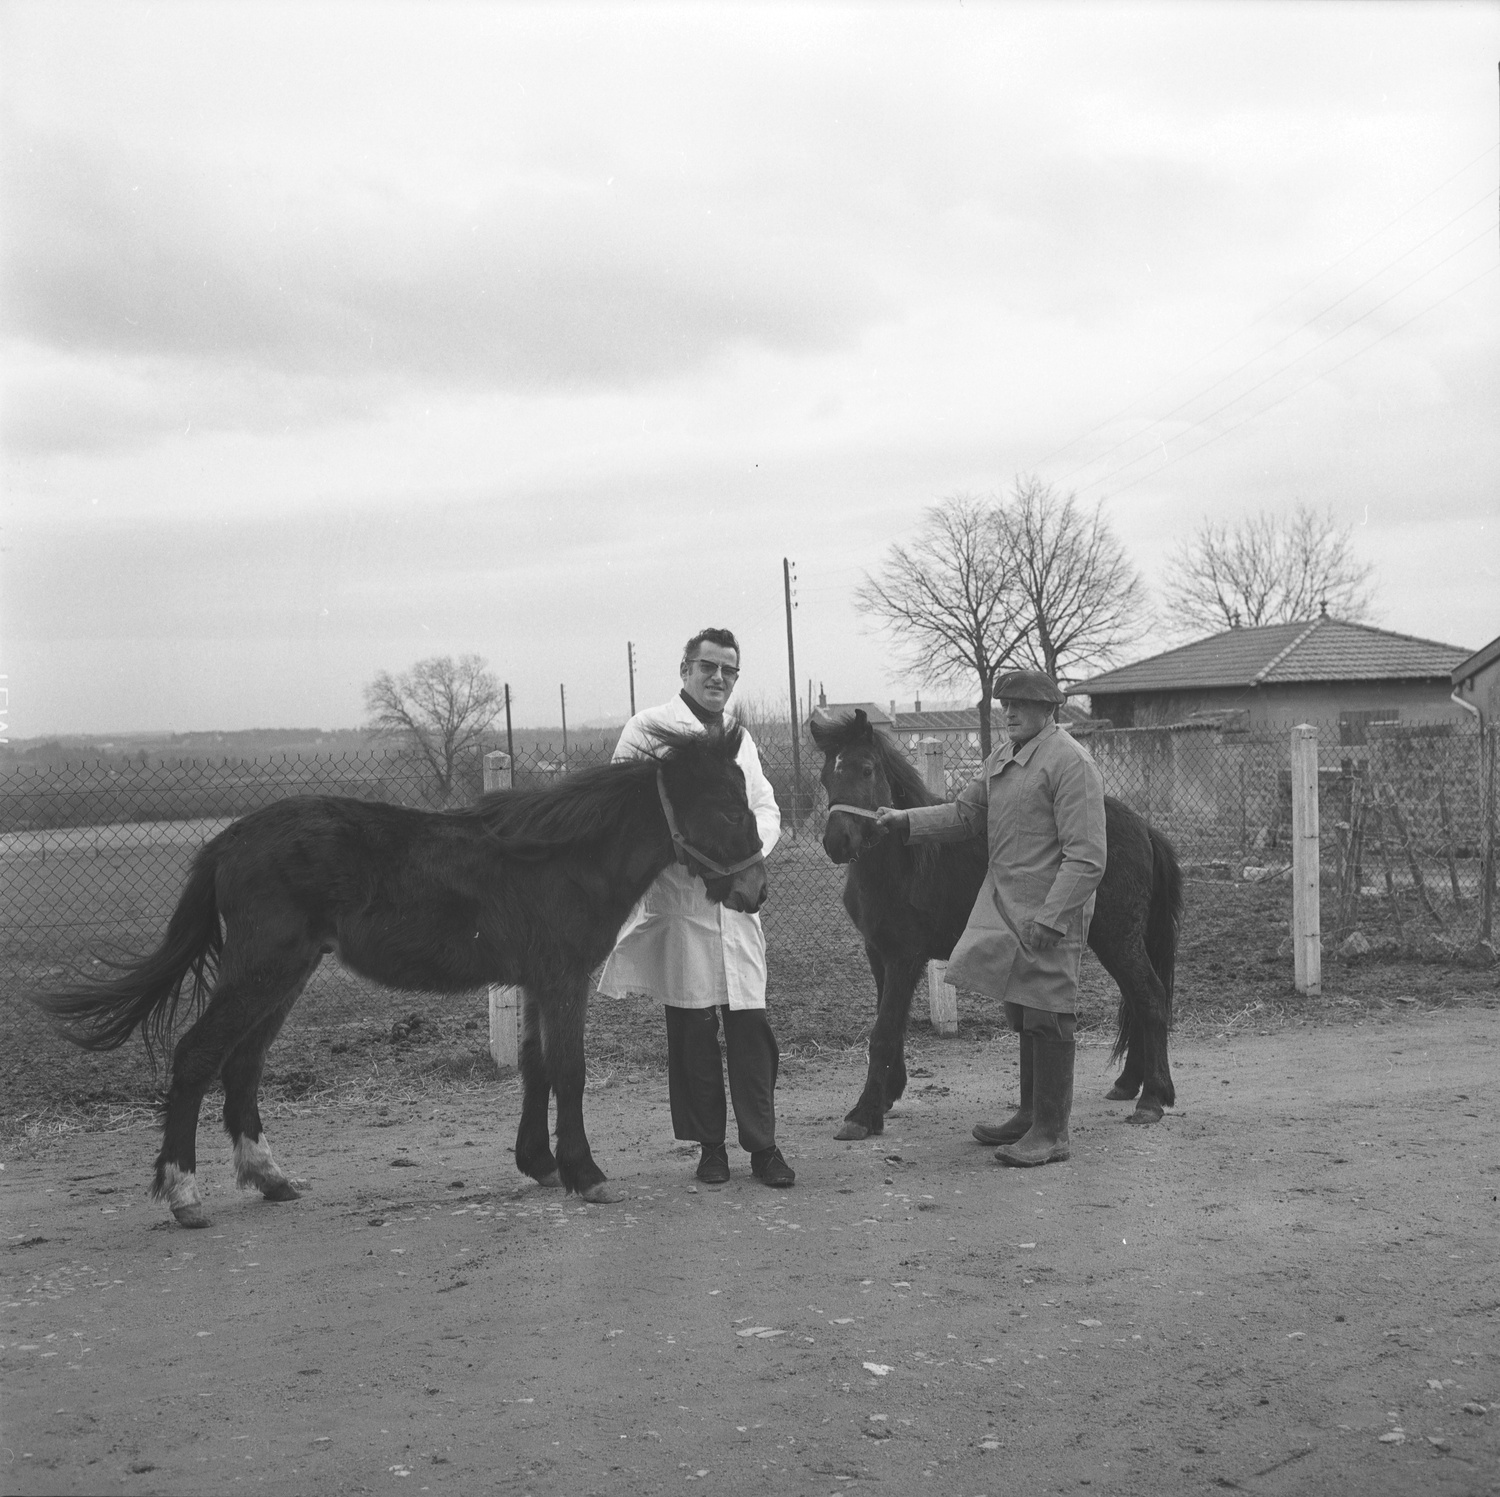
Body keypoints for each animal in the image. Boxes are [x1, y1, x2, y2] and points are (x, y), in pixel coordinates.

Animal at [29, 729, 768, 1230]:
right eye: (731, 809)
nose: (755, 891)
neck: (560, 859)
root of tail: (230, 838)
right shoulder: (562, 979)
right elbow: (570, 1070)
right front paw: (585, 1172)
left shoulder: (534, 981)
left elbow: (534, 1068)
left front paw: (539, 1161)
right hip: (264, 970)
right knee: (197, 1055)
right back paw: (184, 1194)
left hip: (285, 975)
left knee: (243, 1065)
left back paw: (270, 1178)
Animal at [816, 714, 1176, 1134]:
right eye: (825, 776)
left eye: (867, 769)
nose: (837, 842)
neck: (902, 864)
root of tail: (1143, 828)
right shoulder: (878, 953)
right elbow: (889, 1022)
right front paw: (889, 1094)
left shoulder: (905, 958)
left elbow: (884, 1031)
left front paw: (864, 1114)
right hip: (1117, 942)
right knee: (1137, 1000)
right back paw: (1128, 1084)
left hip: (1120, 939)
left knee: (1150, 998)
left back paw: (1153, 1098)